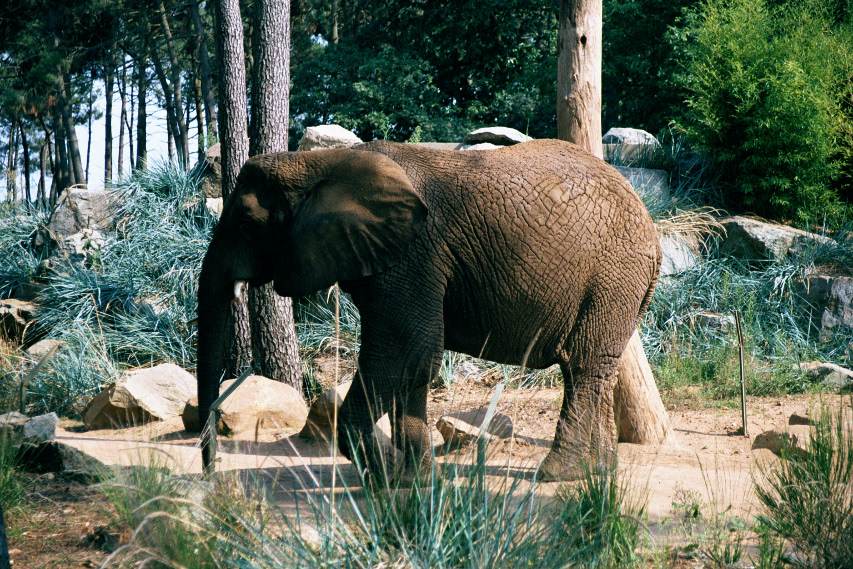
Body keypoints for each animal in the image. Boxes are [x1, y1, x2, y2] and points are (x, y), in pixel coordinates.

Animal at [196, 138, 664, 480]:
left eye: (246, 223)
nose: (212, 472)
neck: (320, 162)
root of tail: (651, 228)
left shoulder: (414, 254)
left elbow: (406, 351)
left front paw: (386, 479)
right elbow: (415, 363)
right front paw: (414, 478)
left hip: (614, 274)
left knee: (583, 365)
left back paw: (556, 475)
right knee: (592, 366)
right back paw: (598, 473)